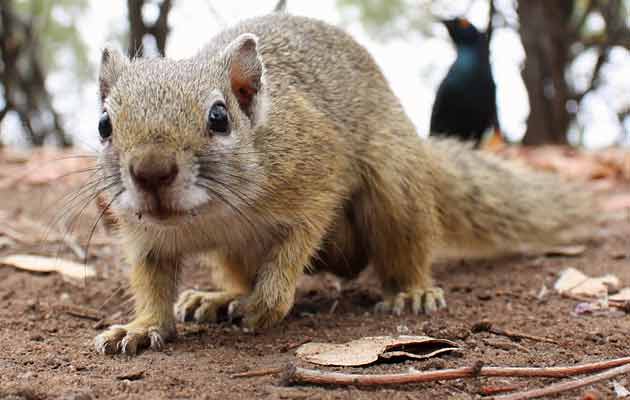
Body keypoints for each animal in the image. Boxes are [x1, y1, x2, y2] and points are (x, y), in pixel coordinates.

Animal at [94, 14, 596, 354]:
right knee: (238, 272)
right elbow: (153, 283)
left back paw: (412, 291)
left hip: (395, 189)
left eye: (219, 118)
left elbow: (296, 243)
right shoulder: (146, 238)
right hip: (233, 253)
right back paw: (220, 296)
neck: (206, 215)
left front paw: (266, 305)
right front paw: (140, 327)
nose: (151, 172)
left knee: (405, 250)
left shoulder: (315, 178)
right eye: (103, 124)